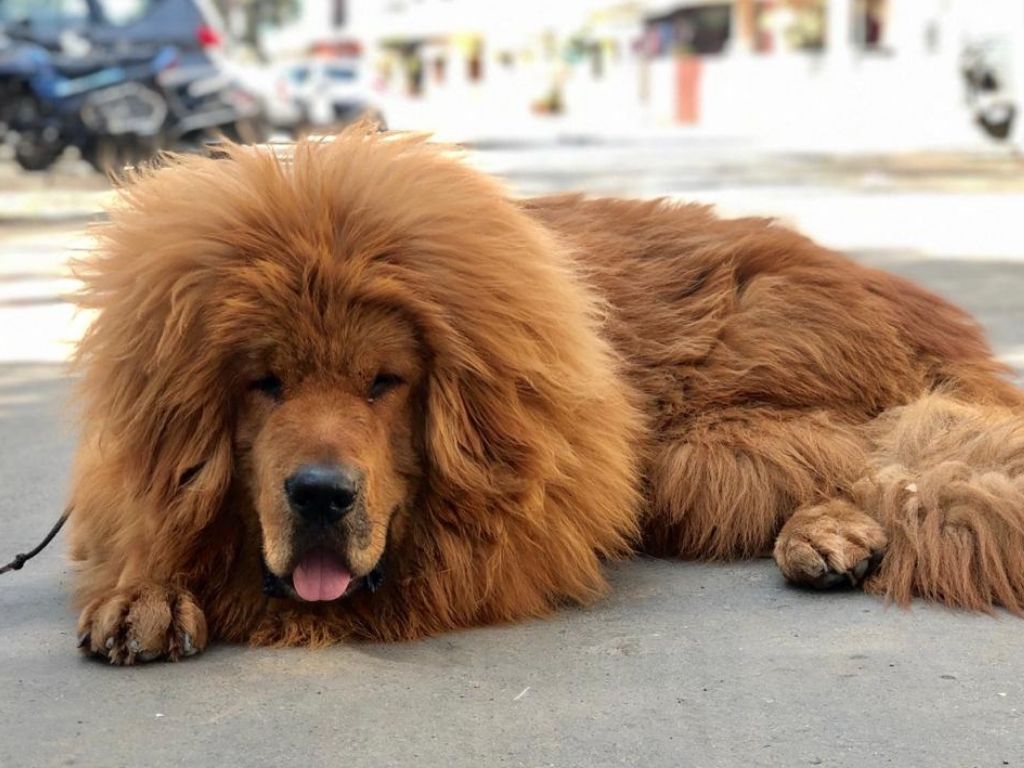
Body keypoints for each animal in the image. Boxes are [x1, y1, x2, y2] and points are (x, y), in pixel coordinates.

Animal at [68, 128, 1024, 667]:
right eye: (264, 383)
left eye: (385, 382)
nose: (320, 495)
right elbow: (145, 522)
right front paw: (143, 589)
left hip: (701, 439)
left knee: (870, 457)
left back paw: (825, 534)